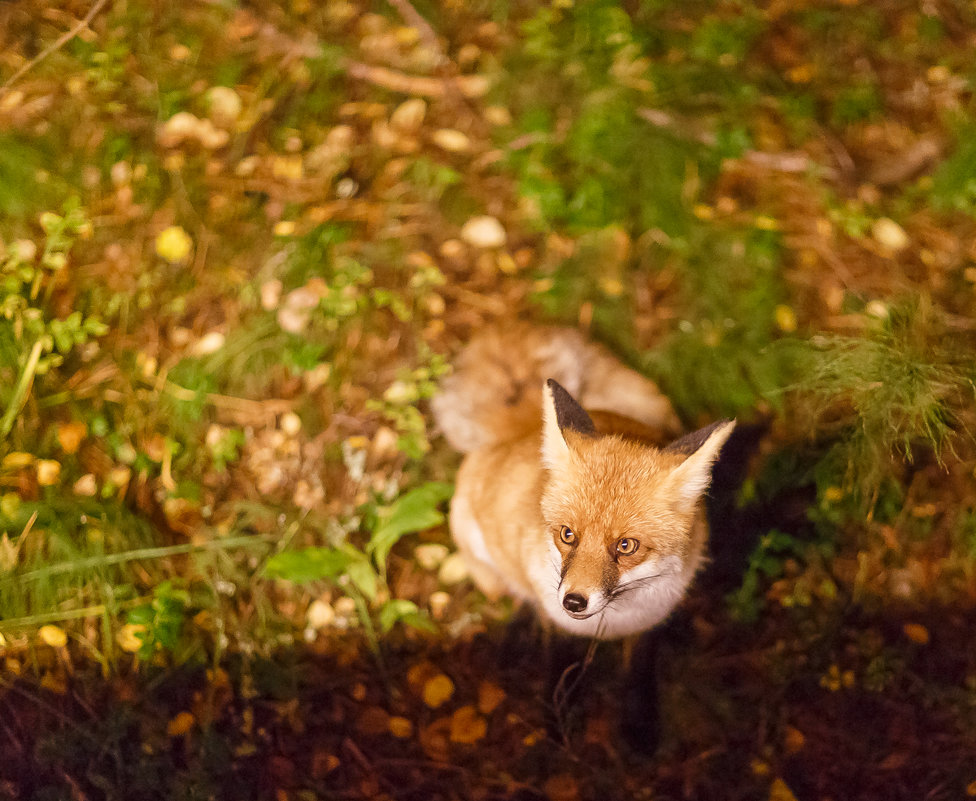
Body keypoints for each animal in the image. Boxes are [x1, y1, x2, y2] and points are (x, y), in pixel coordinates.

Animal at [430, 322, 736, 748]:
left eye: (626, 546)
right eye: (567, 534)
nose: (573, 602)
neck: (610, 623)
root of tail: (525, 428)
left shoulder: (649, 624)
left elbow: (638, 673)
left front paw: (638, 729)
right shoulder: (557, 621)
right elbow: (559, 669)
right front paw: (556, 724)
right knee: (515, 595)